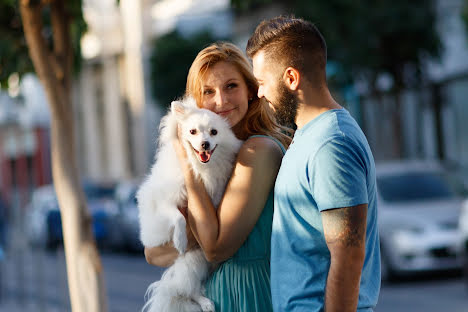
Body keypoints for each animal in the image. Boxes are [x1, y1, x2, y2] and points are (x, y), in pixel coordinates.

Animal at [137, 96, 243, 310]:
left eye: (214, 132)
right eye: (192, 131)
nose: (205, 144)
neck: (200, 168)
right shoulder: (165, 202)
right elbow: (178, 217)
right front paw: (179, 240)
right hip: (192, 260)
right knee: (187, 290)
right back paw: (204, 302)